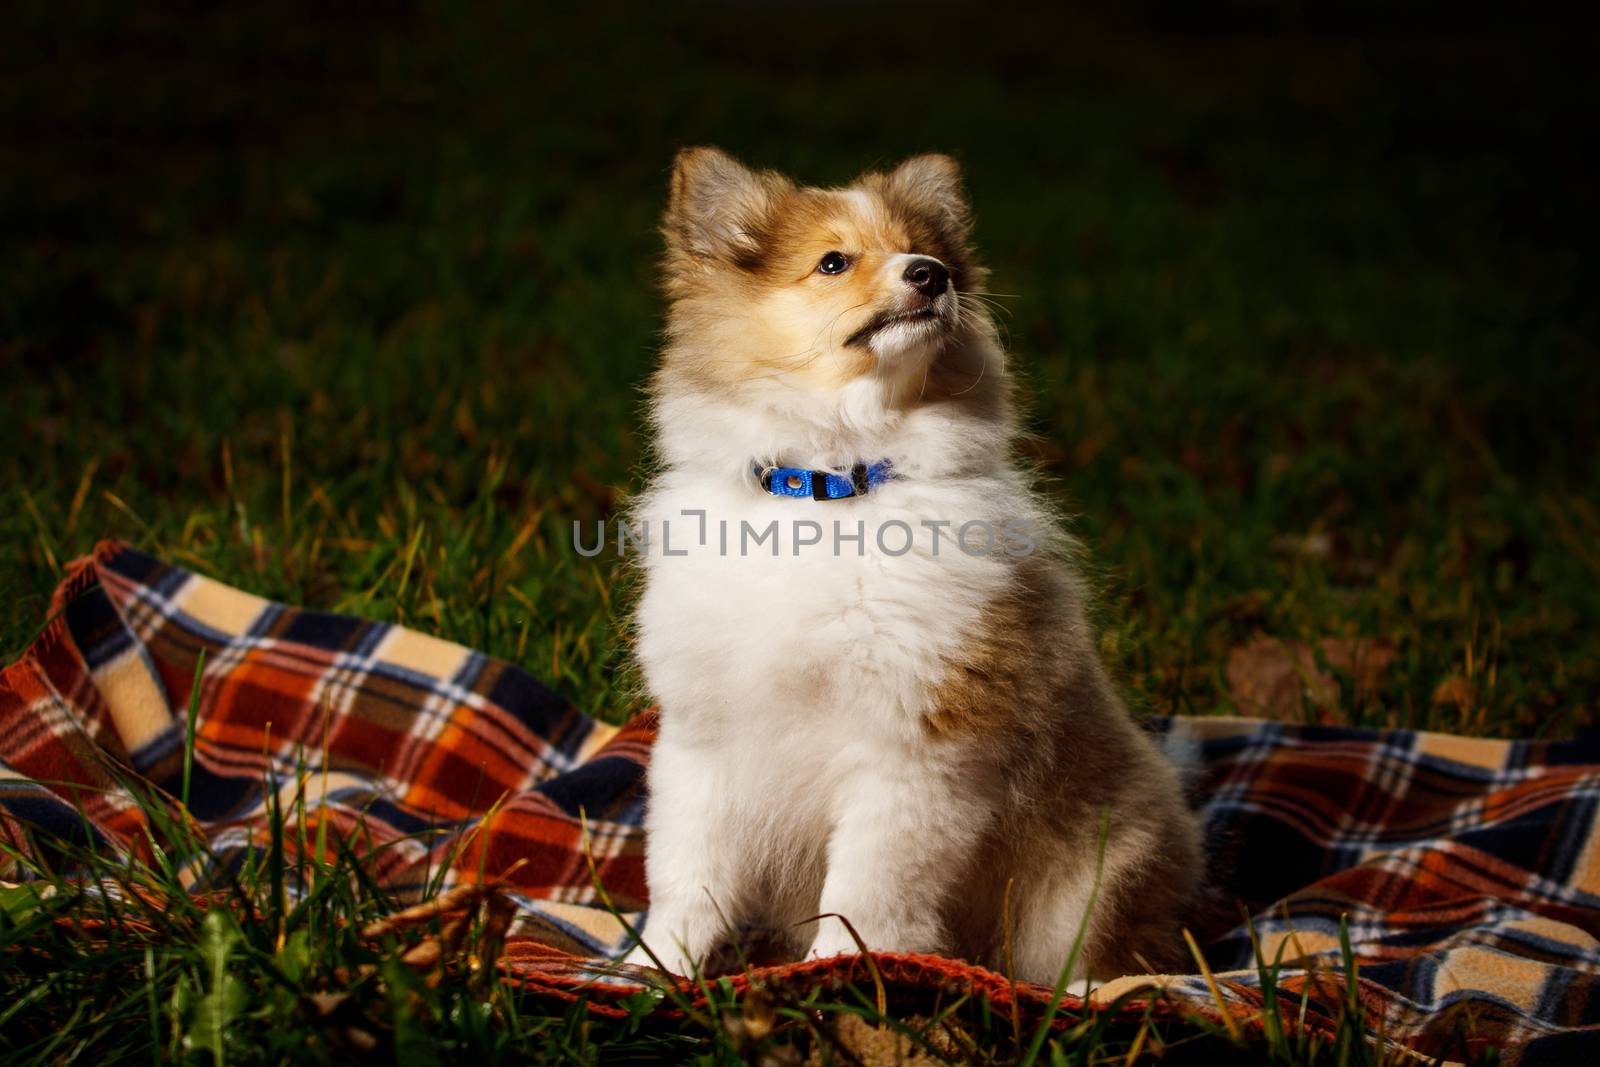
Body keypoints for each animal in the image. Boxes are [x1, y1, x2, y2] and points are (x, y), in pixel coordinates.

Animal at [624, 147, 1203, 985]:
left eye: (924, 250)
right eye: (833, 262)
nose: (932, 275)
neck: (833, 488)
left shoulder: (915, 747)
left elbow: (865, 887)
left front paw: (838, 970)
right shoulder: (704, 734)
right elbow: (686, 869)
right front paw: (653, 967)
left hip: (1089, 888)